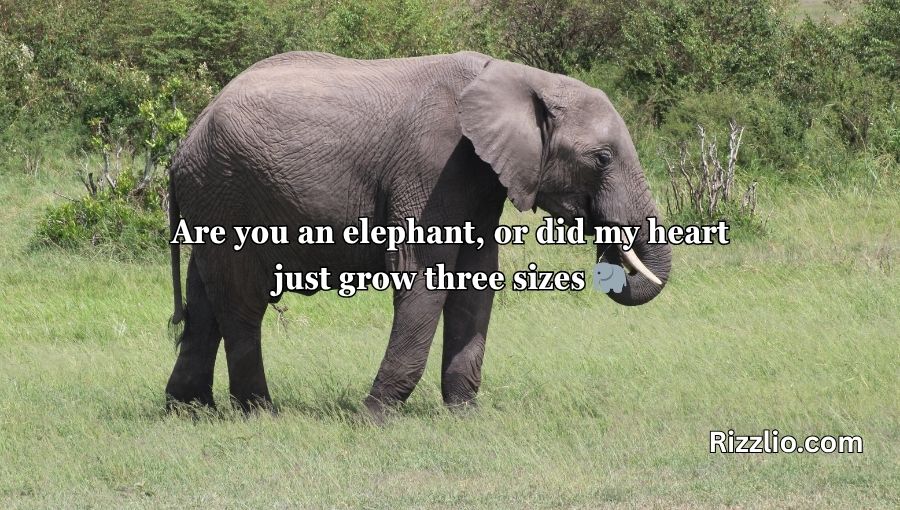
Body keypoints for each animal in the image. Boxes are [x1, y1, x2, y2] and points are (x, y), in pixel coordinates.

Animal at [164, 51, 672, 417]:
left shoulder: (479, 177)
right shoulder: (433, 166)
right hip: (228, 190)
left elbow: (475, 281)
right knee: (241, 301)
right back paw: (260, 413)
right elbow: (425, 276)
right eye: (602, 158)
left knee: (204, 300)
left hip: (211, 198)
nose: (608, 247)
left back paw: (188, 411)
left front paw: (464, 415)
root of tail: (185, 142)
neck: (525, 79)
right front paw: (373, 417)